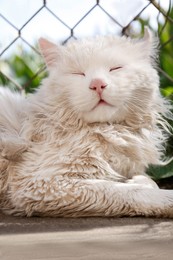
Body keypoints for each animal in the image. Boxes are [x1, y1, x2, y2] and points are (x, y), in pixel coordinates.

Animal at [0, 27, 173, 217]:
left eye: (115, 68)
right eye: (78, 73)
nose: (97, 84)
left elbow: (148, 181)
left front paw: (138, 179)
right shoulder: (43, 182)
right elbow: (125, 191)